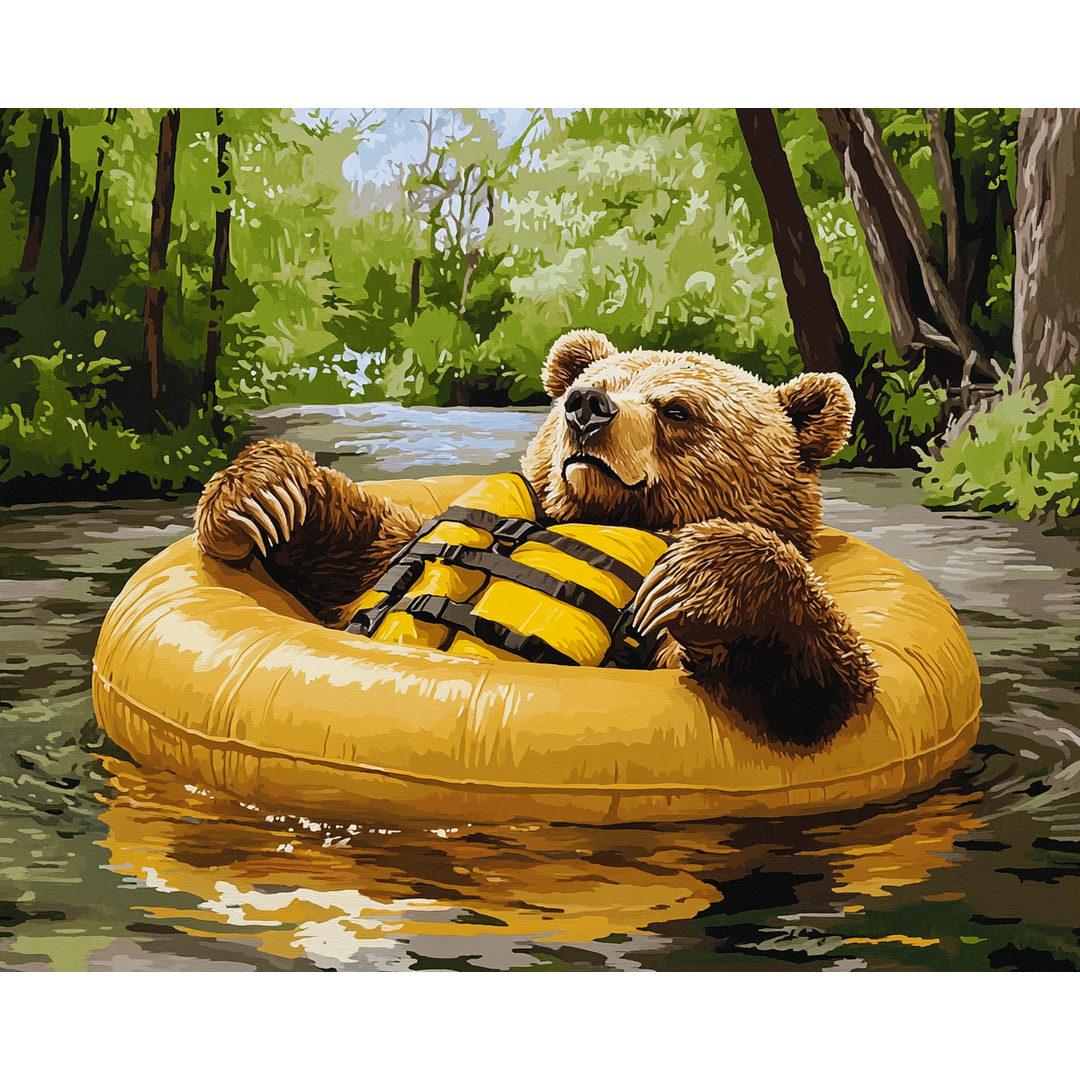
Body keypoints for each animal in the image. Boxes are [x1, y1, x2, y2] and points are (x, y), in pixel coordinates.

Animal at [194, 329, 878, 746]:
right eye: (589, 383)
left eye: (677, 409)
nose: (587, 406)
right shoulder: (388, 550)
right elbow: (357, 549)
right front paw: (262, 495)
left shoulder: (655, 643)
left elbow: (821, 689)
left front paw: (701, 575)